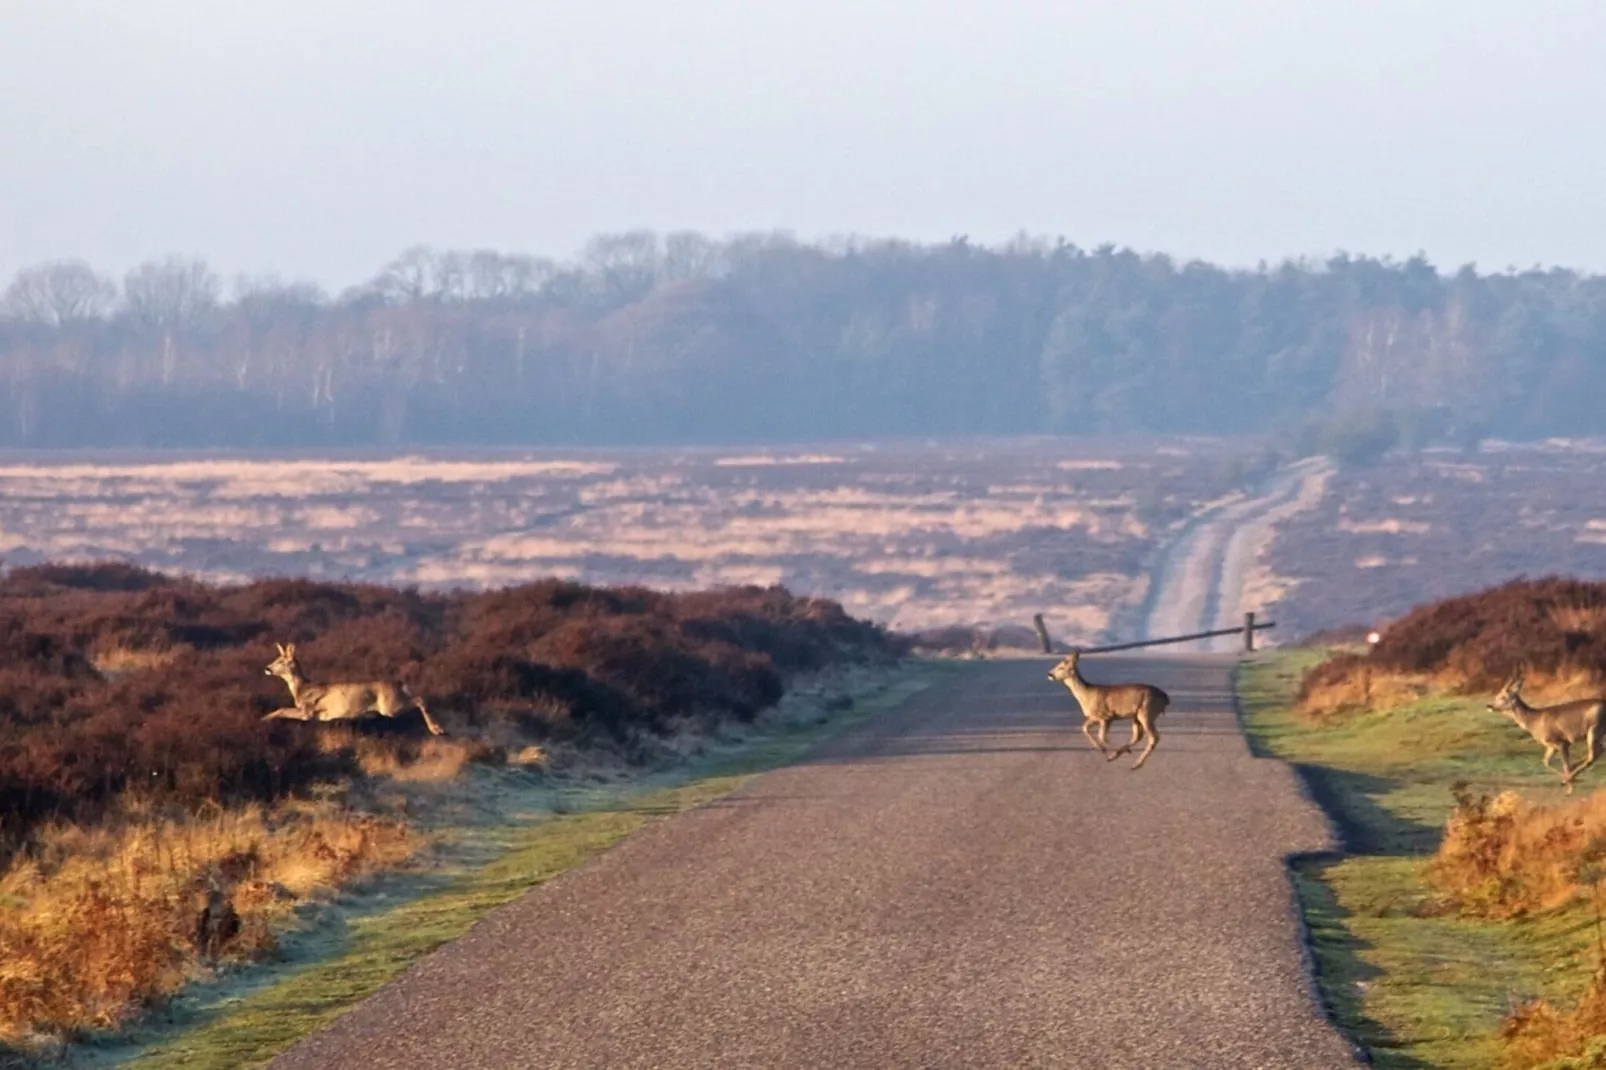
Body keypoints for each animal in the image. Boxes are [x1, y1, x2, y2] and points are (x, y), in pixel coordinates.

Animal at [264, 642, 446, 732]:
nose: (267, 668)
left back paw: (436, 729)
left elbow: (281, 710)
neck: (301, 688)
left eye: (280, 661)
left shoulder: (307, 711)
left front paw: (263, 719)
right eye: (275, 659)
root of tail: (400, 683)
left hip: (390, 706)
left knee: (420, 699)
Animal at [1047, 649, 1175, 767]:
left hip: (1147, 711)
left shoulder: (1105, 716)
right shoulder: (1094, 717)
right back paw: (1124, 757)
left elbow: (1102, 737)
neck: (1087, 694)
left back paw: (1135, 764)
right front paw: (1102, 749)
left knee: (1153, 738)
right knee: (1137, 736)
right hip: (1137, 716)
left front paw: (1112, 753)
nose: (1049, 674)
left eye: (1061, 667)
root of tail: (1165, 698)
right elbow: (1084, 728)